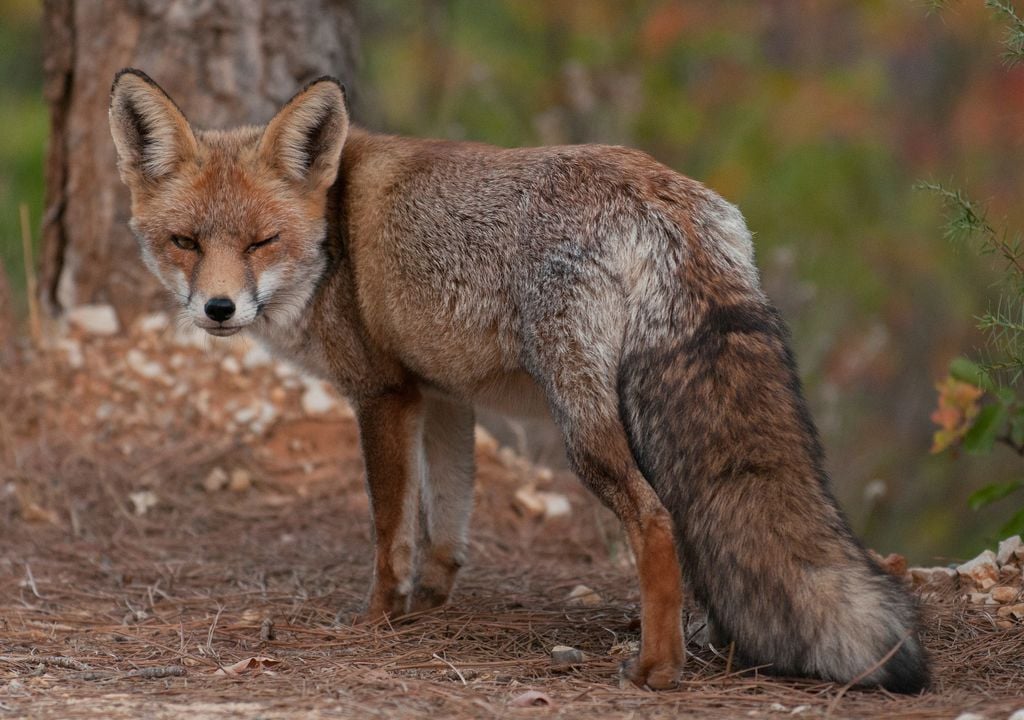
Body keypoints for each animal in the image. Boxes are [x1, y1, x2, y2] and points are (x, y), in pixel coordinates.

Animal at [108, 68, 928, 693]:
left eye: (260, 242)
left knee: (656, 520)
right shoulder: (441, 395)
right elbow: (446, 524)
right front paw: (430, 609)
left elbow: (389, 530)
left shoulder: (383, 395)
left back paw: (657, 670)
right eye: (185, 242)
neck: (331, 238)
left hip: (585, 429)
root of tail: (664, 196)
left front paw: (379, 620)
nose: (219, 309)